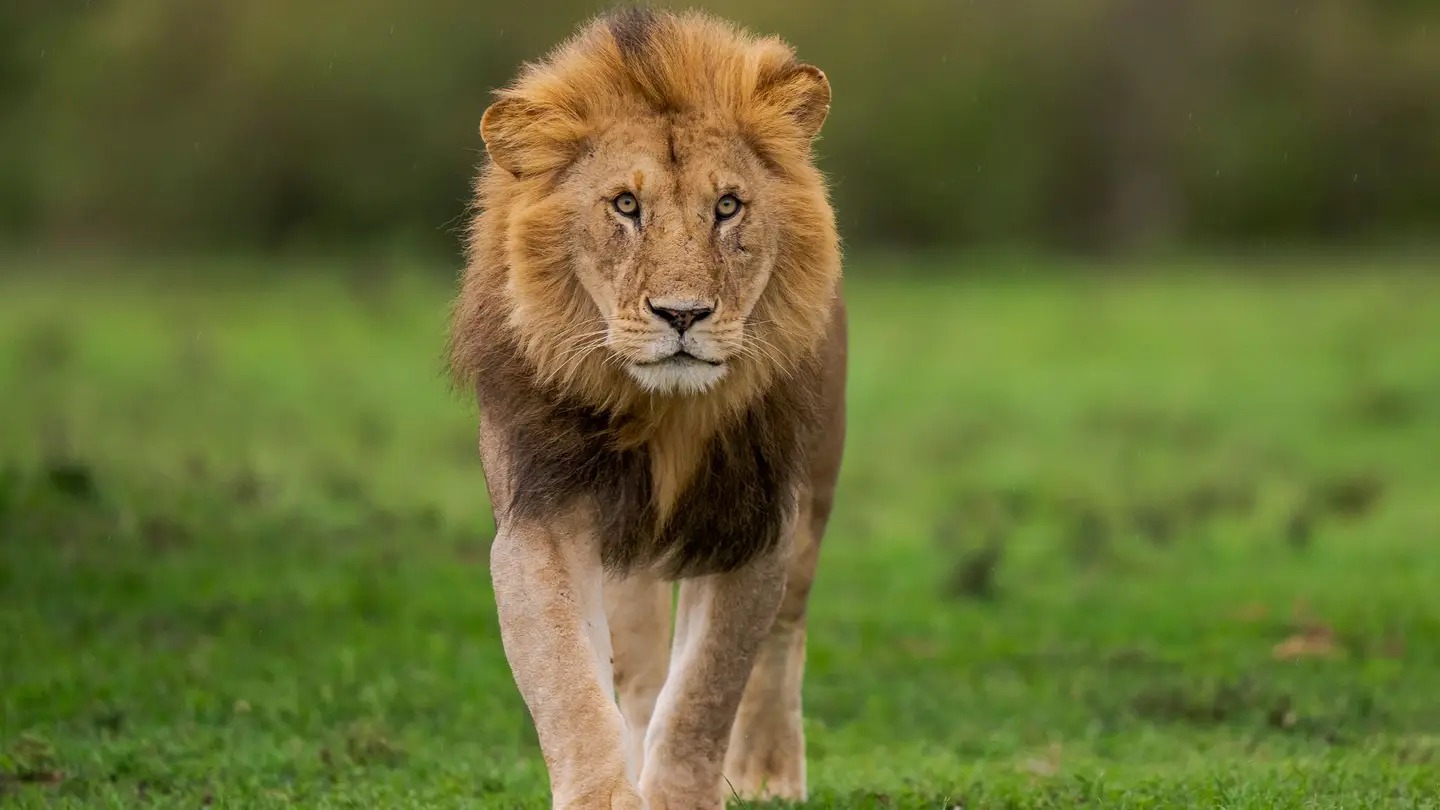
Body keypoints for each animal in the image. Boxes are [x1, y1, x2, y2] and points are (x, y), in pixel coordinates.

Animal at [447, 8, 845, 808]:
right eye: (626, 206)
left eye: (728, 206)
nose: (683, 314)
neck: (664, 413)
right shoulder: (540, 519)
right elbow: (570, 689)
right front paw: (607, 793)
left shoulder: (756, 522)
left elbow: (704, 693)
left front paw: (687, 789)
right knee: (634, 675)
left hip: (816, 489)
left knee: (784, 634)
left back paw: (769, 771)